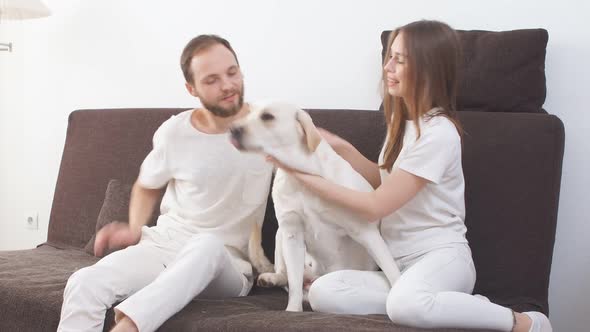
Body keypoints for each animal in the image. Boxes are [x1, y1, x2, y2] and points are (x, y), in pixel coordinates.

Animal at [232, 101, 402, 312]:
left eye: (267, 116)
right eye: (247, 114)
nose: (232, 129)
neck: (302, 180)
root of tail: (314, 277)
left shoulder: (366, 231)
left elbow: (391, 270)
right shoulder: (292, 233)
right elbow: (294, 284)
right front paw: (293, 310)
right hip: (281, 235)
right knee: (286, 275)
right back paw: (273, 278)